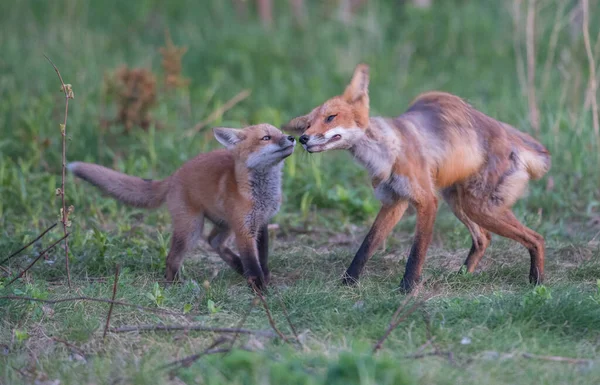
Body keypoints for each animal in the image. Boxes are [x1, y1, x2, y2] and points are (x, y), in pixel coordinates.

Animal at [69, 123, 296, 288]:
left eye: (280, 133)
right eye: (266, 138)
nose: (292, 138)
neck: (261, 194)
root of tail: (174, 175)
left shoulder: (261, 223)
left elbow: (262, 258)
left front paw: (265, 278)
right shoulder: (244, 229)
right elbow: (252, 262)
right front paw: (259, 288)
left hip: (224, 223)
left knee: (213, 241)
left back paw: (237, 267)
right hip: (192, 228)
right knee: (173, 258)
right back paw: (177, 284)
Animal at [284, 63, 552, 292]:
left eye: (331, 117)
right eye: (307, 125)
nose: (303, 139)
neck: (385, 154)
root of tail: (505, 132)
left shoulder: (426, 201)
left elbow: (417, 252)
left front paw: (407, 289)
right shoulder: (394, 201)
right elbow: (366, 246)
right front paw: (348, 282)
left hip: (479, 207)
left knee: (537, 238)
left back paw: (537, 283)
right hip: (458, 202)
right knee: (484, 238)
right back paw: (461, 276)